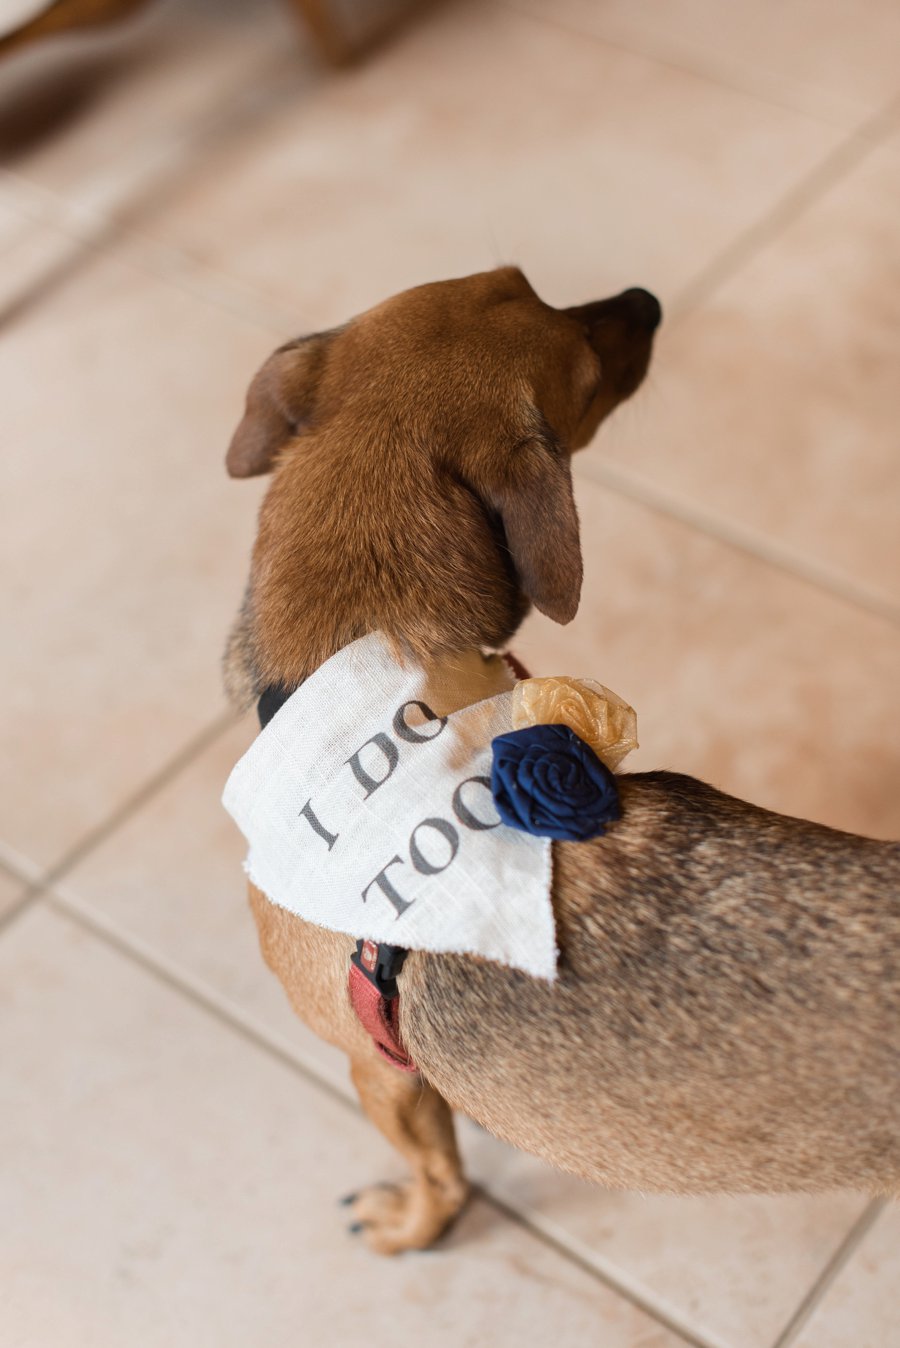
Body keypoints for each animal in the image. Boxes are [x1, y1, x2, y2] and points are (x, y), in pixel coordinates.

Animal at [220, 268, 894, 1256]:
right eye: (514, 282)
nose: (647, 299)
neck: (386, 681)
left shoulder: (383, 1074)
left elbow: (439, 1172)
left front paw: (414, 1226)